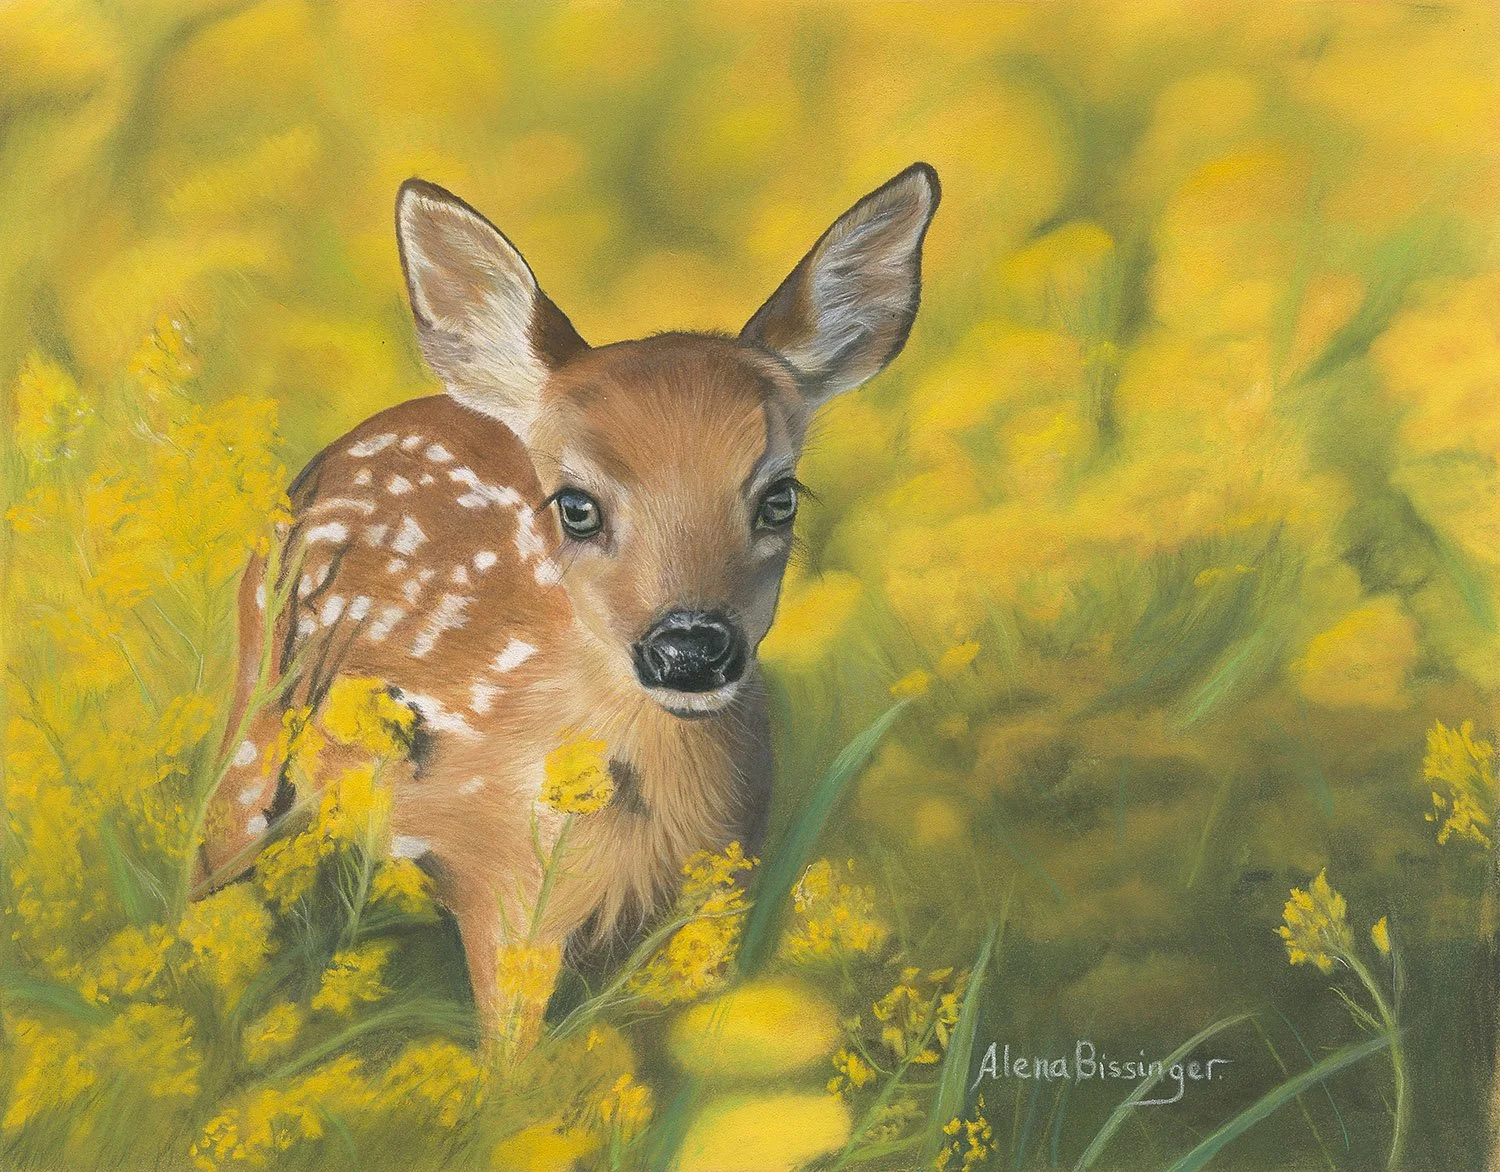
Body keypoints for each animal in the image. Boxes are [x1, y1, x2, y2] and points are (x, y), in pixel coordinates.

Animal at [195, 162, 940, 1032]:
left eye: (780, 497)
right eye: (577, 505)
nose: (689, 648)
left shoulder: (721, 896)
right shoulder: (506, 891)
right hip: (249, 745)